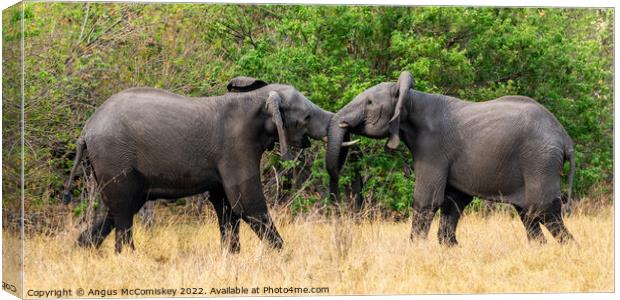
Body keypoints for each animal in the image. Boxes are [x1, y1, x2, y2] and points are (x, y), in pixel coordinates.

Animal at [65, 76, 352, 252]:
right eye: (306, 117)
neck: (257, 98)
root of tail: (85, 130)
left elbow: (226, 206)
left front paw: (232, 258)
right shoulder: (236, 145)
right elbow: (246, 202)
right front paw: (283, 255)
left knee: (114, 210)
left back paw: (81, 250)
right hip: (114, 156)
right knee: (124, 211)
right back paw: (127, 257)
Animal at [326, 71, 572, 246]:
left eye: (368, 103)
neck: (412, 99)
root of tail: (565, 138)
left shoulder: (432, 147)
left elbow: (427, 199)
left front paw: (415, 249)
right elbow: (453, 201)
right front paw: (450, 247)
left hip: (540, 159)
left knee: (543, 209)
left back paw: (568, 249)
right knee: (527, 213)